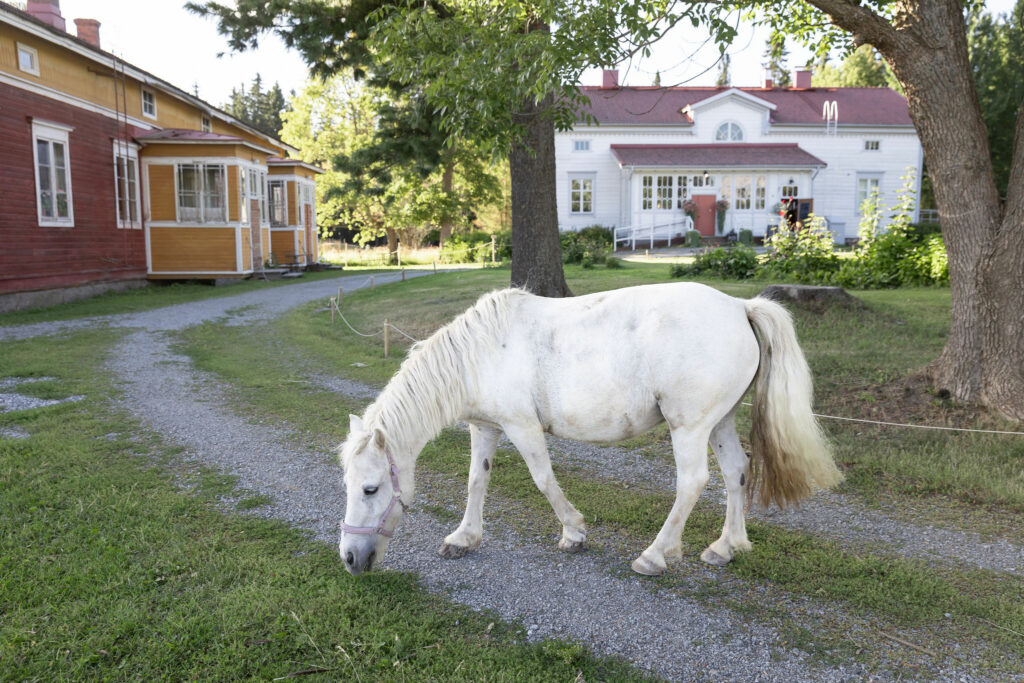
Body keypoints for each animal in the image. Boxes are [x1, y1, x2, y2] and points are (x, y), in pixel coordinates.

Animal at [337, 282, 839, 577]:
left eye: (369, 488)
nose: (349, 558)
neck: (479, 353)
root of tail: (739, 307)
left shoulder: (521, 427)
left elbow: (543, 479)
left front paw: (574, 533)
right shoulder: (486, 428)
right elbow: (477, 481)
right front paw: (464, 538)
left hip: (690, 425)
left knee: (693, 482)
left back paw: (655, 555)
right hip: (720, 420)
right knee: (736, 472)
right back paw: (727, 546)